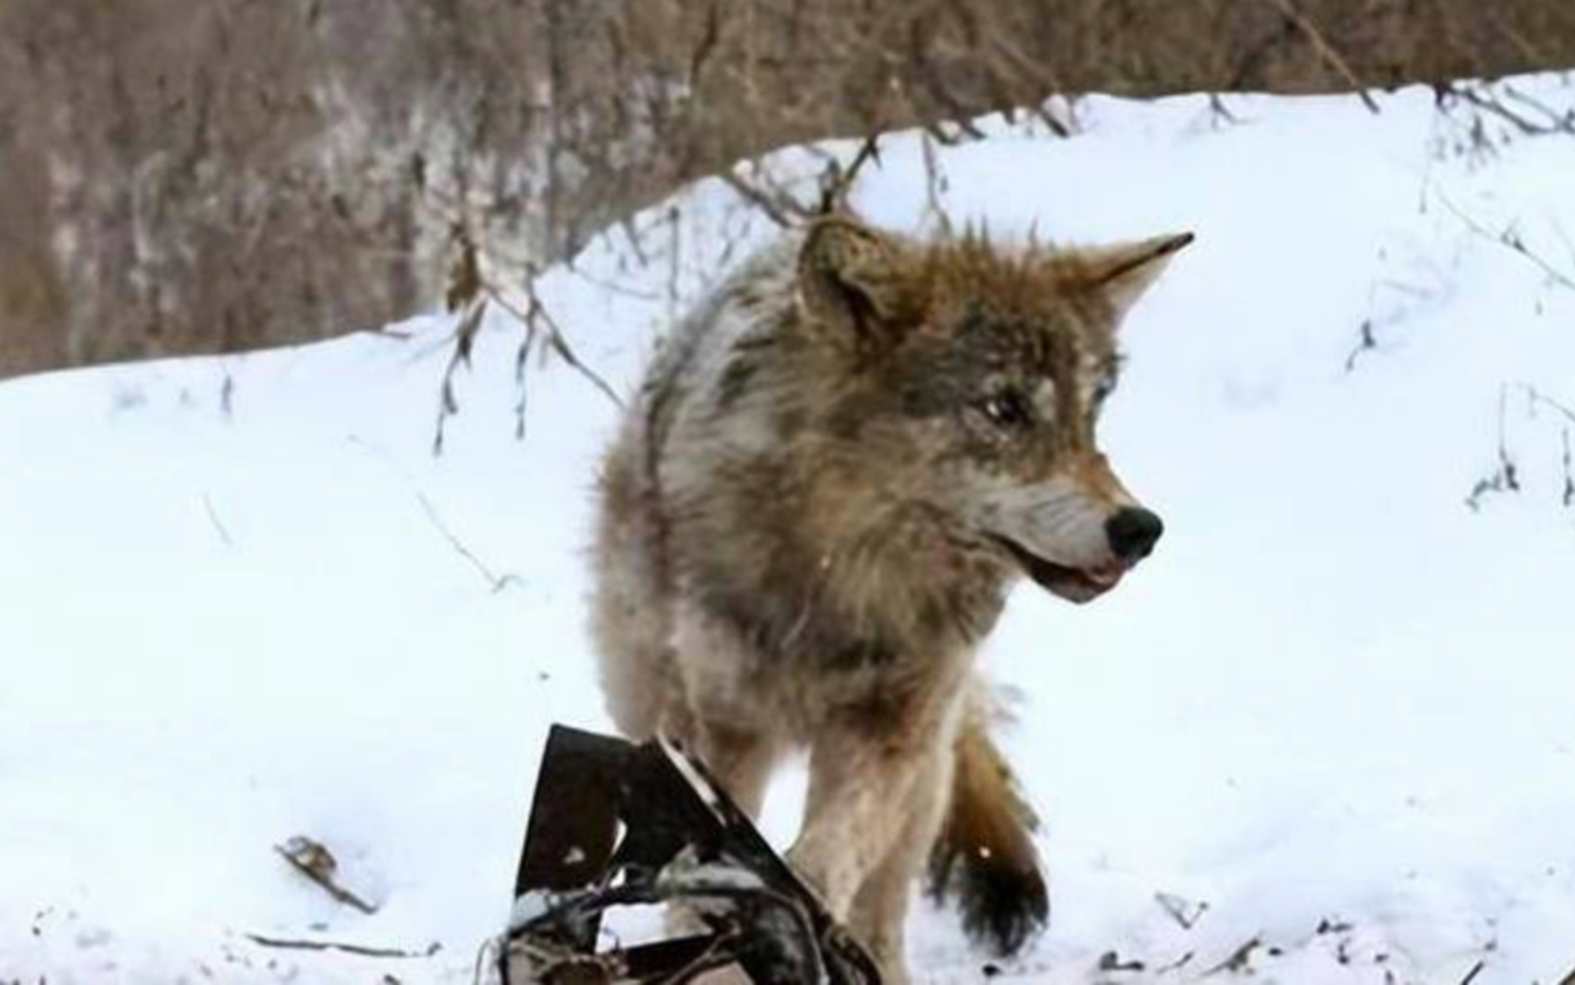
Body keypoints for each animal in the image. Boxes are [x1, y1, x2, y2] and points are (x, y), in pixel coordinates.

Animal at [585, 212, 1184, 977]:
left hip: (926, 770)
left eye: (1091, 414)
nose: (1139, 529)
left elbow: (824, 860)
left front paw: (785, 926)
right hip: (646, 699)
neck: (846, 580)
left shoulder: (892, 726)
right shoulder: (726, 726)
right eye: (1004, 408)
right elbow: (712, 867)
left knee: (883, 902)